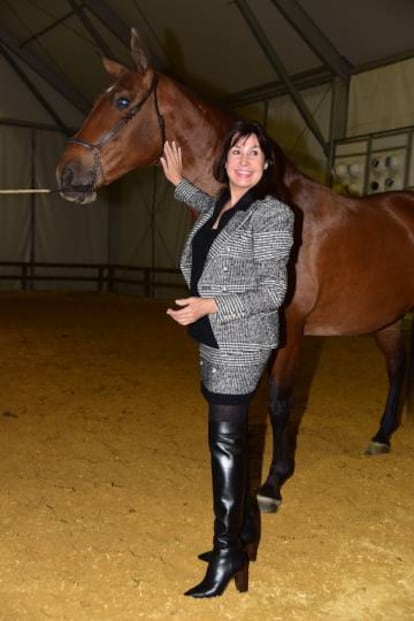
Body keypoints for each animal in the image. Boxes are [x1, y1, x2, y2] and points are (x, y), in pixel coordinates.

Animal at [55, 29, 414, 512]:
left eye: (123, 101)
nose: (66, 173)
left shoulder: (289, 329)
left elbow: (280, 403)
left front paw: (272, 484)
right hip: (386, 318)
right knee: (396, 369)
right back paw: (381, 436)